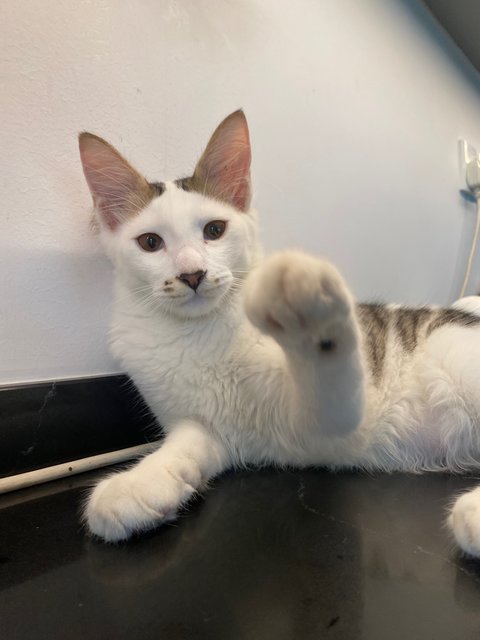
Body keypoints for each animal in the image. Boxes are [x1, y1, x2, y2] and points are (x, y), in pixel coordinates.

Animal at [80, 110, 480, 556]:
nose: (192, 274)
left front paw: (307, 302)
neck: (200, 336)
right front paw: (138, 483)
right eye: (150, 242)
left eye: (214, 230)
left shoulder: (333, 417)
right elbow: (184, 445)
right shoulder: (207, 429)